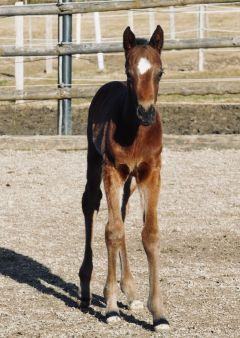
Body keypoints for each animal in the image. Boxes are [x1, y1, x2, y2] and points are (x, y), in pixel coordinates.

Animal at [79, 25, 169, 332]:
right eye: (129, 74)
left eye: (160, 72)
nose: (146, 112)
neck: (136, 132)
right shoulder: (112, 170)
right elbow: (113, 231)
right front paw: (110, 307)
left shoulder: (150, 172)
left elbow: (150, 233)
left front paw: (158, 313)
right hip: (94, 161)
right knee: (90, 205)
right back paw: (85, 289)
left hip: (129, 181)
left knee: (121, 211)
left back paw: (130, 291)